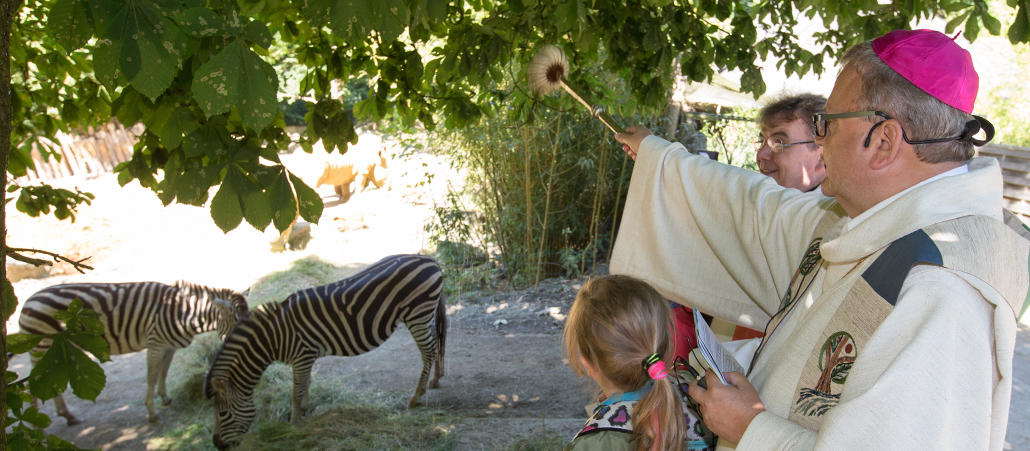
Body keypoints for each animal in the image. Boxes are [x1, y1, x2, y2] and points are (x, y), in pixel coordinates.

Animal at [18, 280, 250, 424]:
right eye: (236, 324)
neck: (184, 314)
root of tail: (29, 300)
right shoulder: (156, 343)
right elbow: (151, 376)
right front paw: (152, 412)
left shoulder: (169, 346)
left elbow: (163, 372)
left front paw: (165, 398)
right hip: (44, 346)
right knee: (34, 383)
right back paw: (38, 424)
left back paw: (68, 417)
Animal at [204, 254, 447, 450]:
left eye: (222, 414)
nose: (217, 445)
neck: (274, 337)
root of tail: (430, 259)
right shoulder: (305, 358)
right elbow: (305, 384)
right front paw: (304, 410)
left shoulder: (302, 356)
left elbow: (296, 390)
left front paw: (293, 425)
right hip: (425, 314)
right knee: (437, 341)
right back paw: (435, 379)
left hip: (417, 313)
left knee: (428, 351)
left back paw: (416, 396)